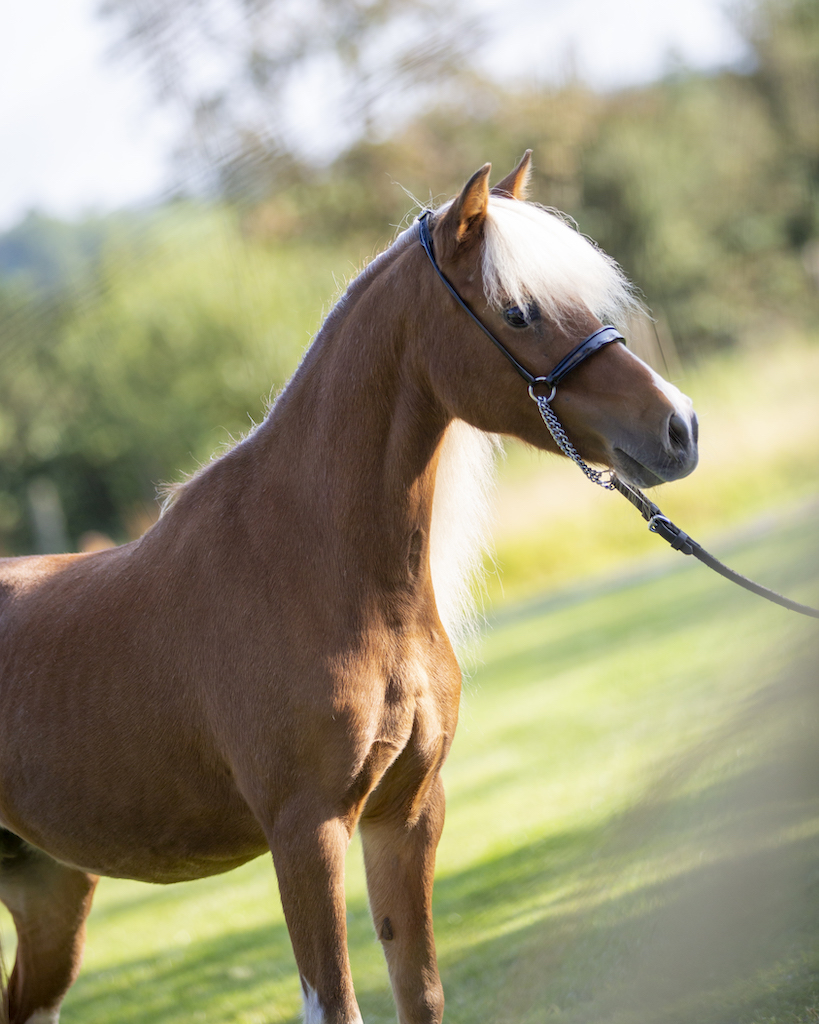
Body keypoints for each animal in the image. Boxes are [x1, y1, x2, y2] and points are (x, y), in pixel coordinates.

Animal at [0, 152, 698, 1024]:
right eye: (518, 311)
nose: (678, 427)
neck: (319, 569)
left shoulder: (406, 814)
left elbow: (420, 990)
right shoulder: (307, 831)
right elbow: (334, 1003)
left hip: (50, 888)